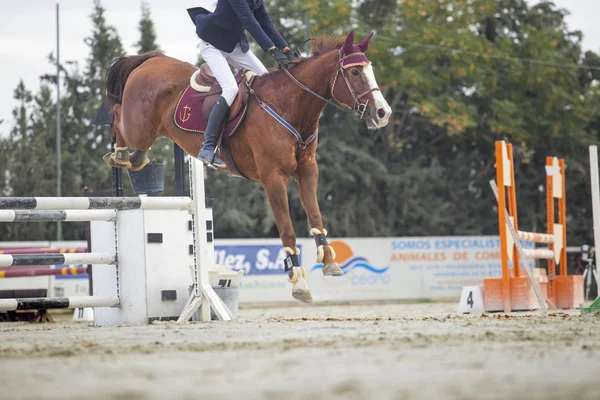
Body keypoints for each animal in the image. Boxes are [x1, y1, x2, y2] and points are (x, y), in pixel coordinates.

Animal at [105, 32, 392, 304]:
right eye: (355, 72)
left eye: (370, 69)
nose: (383, 113)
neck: (290, 106)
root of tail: (152, 59)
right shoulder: (272, 178)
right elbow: (287, 229)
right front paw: (298, 280)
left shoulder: (308, 170)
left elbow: (315, 215)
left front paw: (329, 261)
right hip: (138, 126)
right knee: (117, 114)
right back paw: (118, 153)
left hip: (147, 132)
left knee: (137, 145)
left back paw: (136, 159)